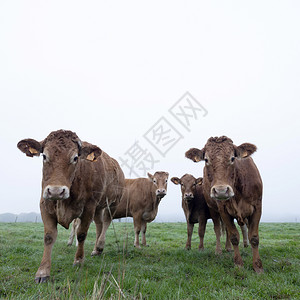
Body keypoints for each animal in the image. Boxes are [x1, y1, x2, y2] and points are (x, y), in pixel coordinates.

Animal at [16, 129, 124, 282]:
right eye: (44, 156)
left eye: (75, 158)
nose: (56, 191)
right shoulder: (45, 204)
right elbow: (49, 236)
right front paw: (42, 272)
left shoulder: (89, 207)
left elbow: (82, 234)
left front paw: (78, 260)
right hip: (99, 207)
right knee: (99, 224)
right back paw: (96, 249)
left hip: (113, 203)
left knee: (107, 222)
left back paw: (100, 245)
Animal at [186, 137, 264, 274]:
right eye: (206, 159)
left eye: (233, 158)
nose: (221, 190)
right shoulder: (223, 210)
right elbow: (233, 236)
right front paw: (238, 264)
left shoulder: (257, 207)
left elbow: (254, 237)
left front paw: (258, 267)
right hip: (213, 209)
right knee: (218, 229)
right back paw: (220, 250)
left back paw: (229, 248)